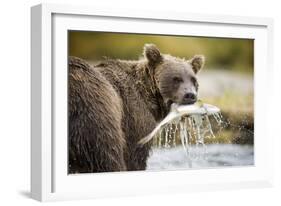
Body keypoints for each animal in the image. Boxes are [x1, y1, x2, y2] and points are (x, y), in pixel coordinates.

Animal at [68, 44, 203, 173]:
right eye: (176, 79)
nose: (190, 95)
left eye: (193, 80)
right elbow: (135, 156)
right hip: (95, 109)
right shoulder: (134, 117)